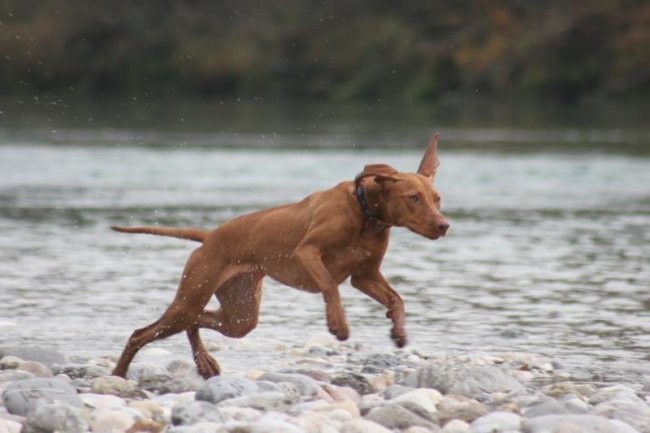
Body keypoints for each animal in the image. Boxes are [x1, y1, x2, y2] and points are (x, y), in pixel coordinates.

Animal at [110, 133, 446, 376]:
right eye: (413, 198)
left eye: (437, 198)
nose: (444, 225)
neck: (364, 212)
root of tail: (210, 237)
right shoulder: (307, 252)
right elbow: (329, 285)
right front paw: (337, 323)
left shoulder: (365, 276)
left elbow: (397, 300)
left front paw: (398, 330)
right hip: (191, 298)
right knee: (140, 333)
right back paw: (119, 373)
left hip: (239, 316)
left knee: (196, 322)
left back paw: (203, 361)